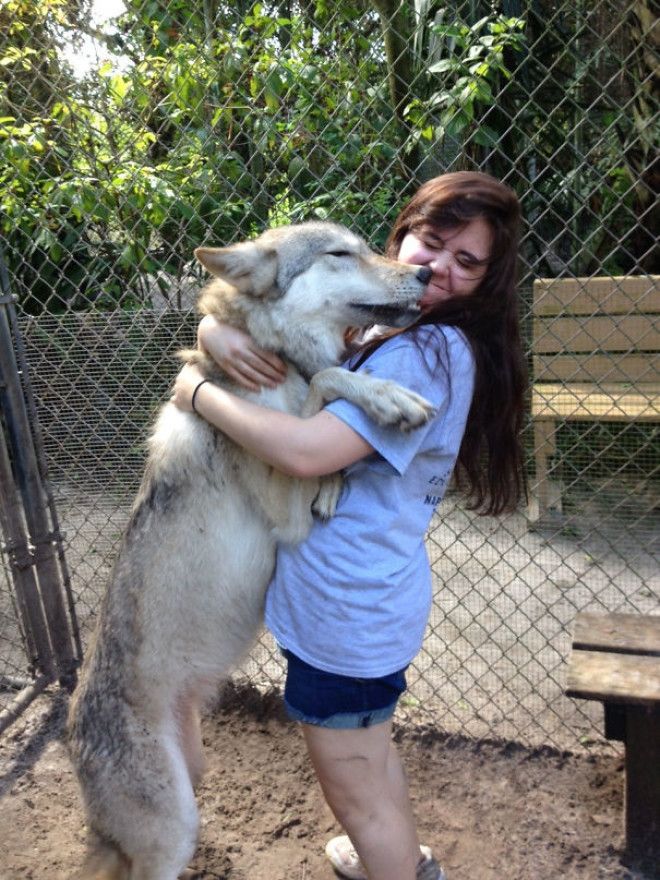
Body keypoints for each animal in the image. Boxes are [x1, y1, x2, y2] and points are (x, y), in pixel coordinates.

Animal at [68, 222, 434, 880]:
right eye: (340, 253)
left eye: (369, 247)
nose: (424, 274)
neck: (277, 361)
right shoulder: (285, 513)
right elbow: (326, 383)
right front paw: (387, 398)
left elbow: (322, 388)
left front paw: (339, 470)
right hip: (173, 830)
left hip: (190, 785)